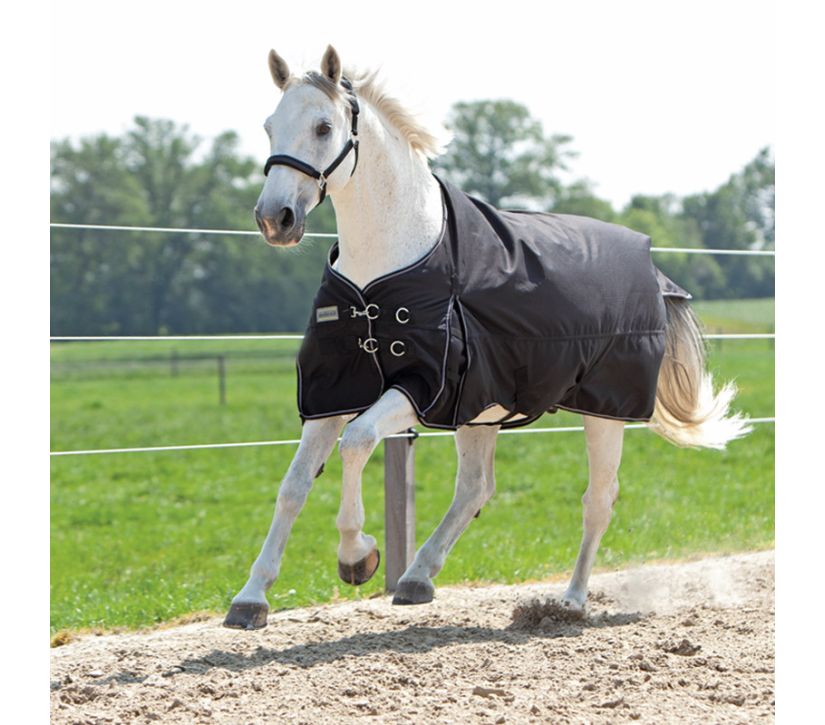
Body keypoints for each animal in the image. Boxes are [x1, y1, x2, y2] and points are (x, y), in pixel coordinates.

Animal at [223, 45, 750, 630]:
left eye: (323, 126)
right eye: (270, 127)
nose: (275, 219)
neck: (384, 271)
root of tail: (656, 272)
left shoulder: (417, 387)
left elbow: (357, 442)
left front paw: (357, 555)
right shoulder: (331, 391)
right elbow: (293, 485)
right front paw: (251, 598)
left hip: (602, 410)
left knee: (598, 500)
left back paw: (570, 601)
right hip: (483, 409)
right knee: (477, 487)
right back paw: (418, 578)